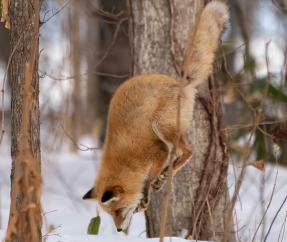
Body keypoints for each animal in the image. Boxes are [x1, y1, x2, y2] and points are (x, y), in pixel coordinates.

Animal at [82, 0, 230, 232]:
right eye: (110, 215)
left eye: (117, 211)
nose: (118, 229)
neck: (125, 162)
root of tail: (179, 82)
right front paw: (146, 196)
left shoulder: (157, 152)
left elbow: (149, 179)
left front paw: (147, 194)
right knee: (179, 153)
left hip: (160, 126)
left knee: (188, 152)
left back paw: (166, 173)